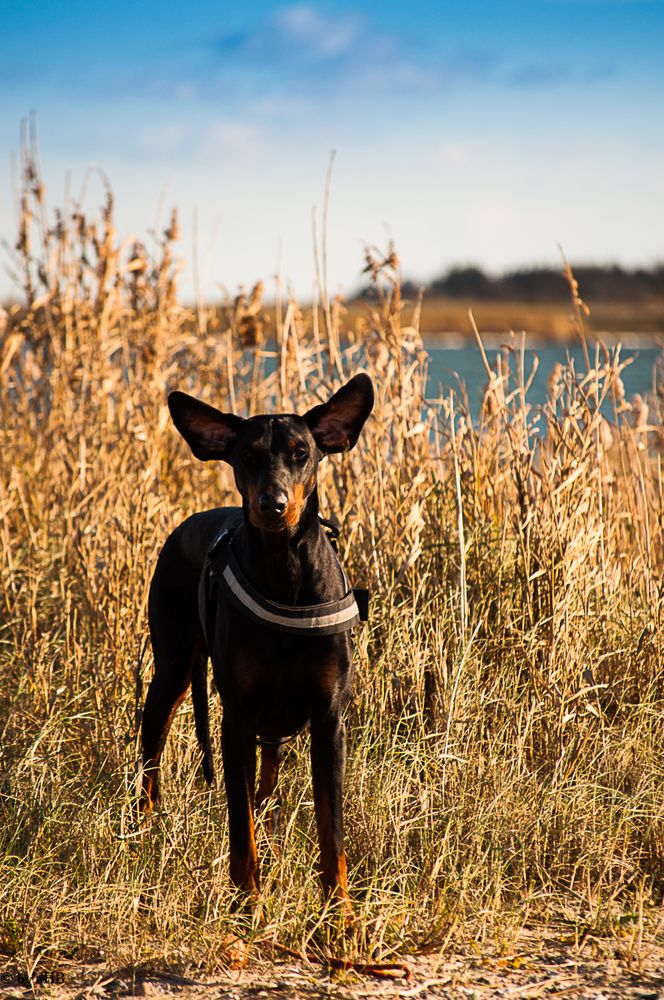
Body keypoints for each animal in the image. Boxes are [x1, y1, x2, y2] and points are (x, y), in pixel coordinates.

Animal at [139, 374, 374, 916]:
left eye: (301, 452)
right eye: (247, 456)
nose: (273, 504)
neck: (284, 569)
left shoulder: (329, 719)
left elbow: (331, 830)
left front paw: (340, 915)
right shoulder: (238, 720)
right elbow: (239, 826)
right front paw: (249, 904)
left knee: (267, 786)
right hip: (172, 670)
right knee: (151, 754)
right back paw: (142, 834)